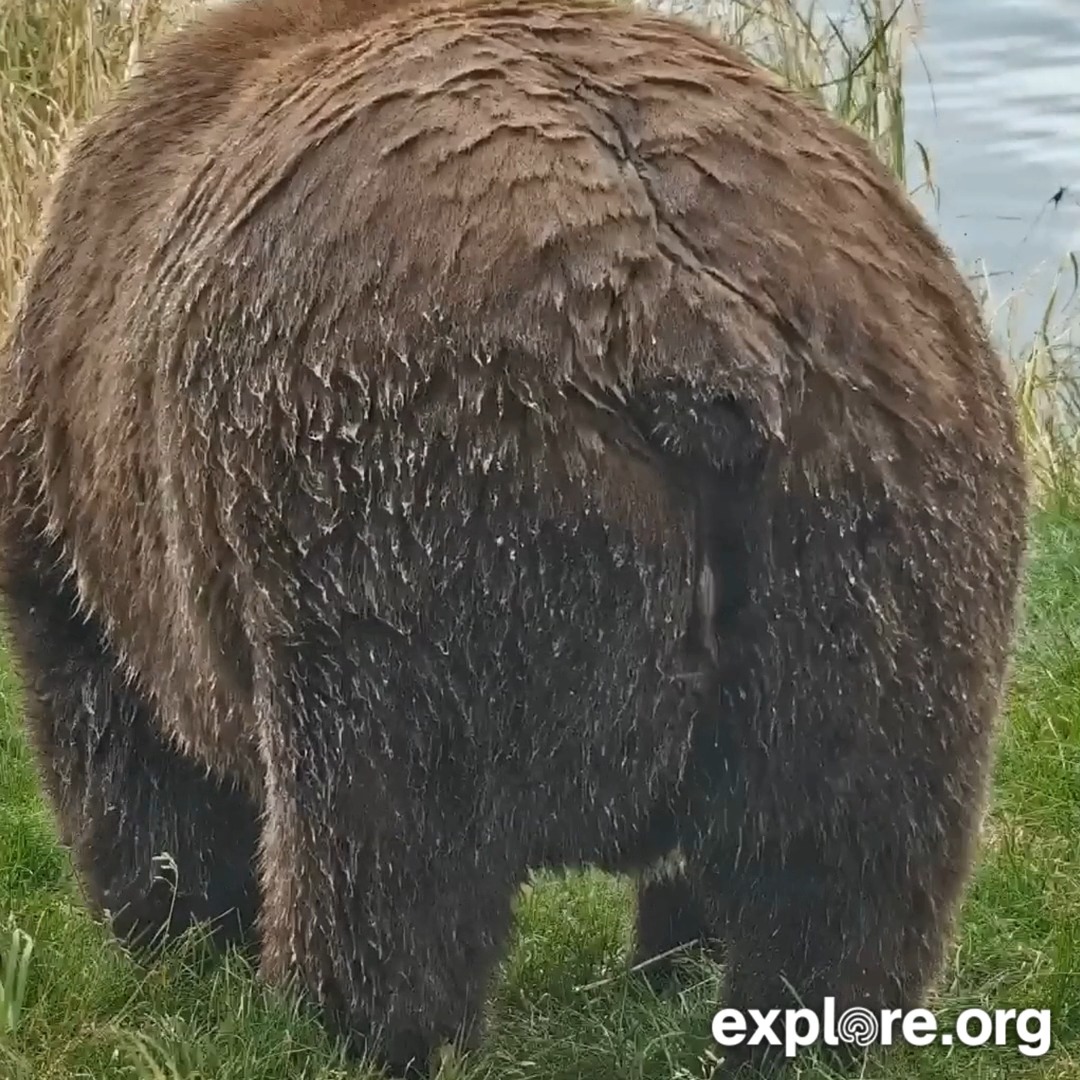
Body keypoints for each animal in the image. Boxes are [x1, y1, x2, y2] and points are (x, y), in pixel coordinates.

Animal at [0, 0, 1029, 1075]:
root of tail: (688, 331)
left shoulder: (89, 477)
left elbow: (121, 743)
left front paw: (178, 933)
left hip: (409, 504)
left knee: (390, 849)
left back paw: (331, 1024)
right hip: (880, 523)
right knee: (844, 865)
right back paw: (800, 1025)